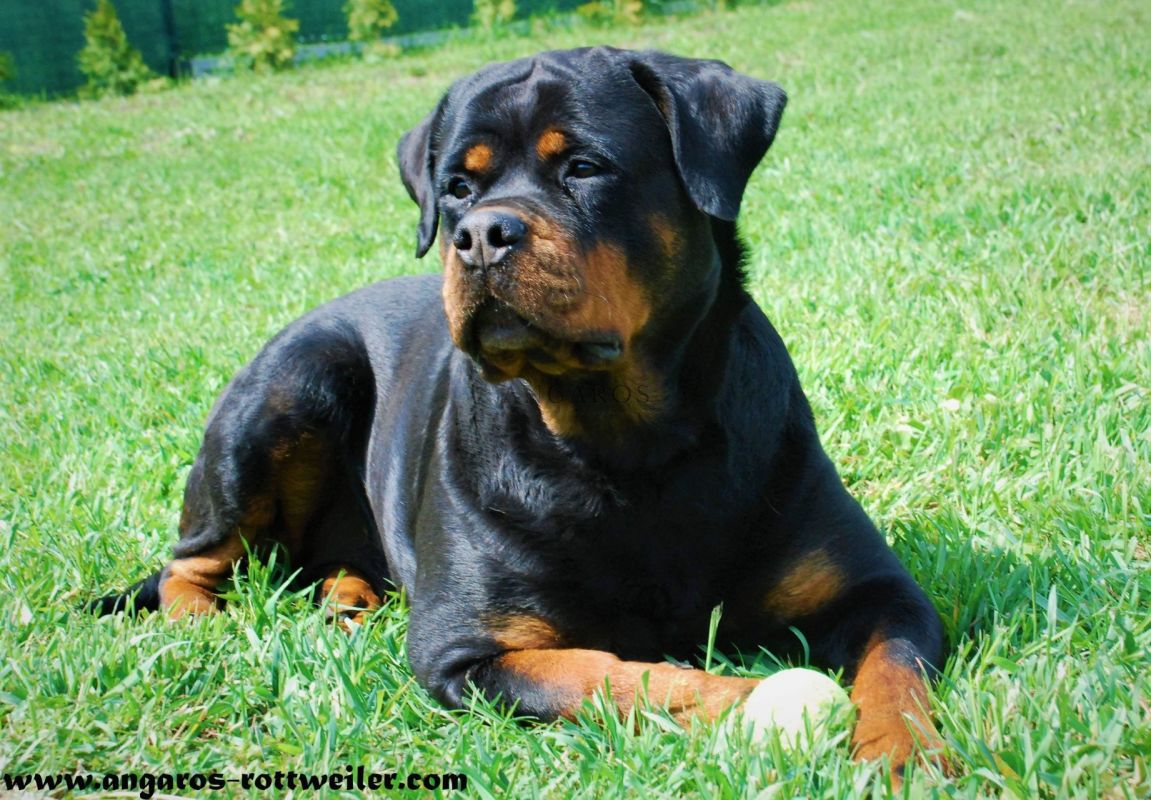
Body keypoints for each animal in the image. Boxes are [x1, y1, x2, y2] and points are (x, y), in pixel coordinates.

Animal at [94, 47, 946, 778]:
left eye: (584, 166)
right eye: (455, 188)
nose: (479, 234)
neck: (626, 443)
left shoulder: (880, 592)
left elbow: (895, 670)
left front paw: (900, 754)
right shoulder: (468, 649)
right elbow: (612, 674)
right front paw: (746, 698)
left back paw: (348, 600)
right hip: (289, 385)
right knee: (189, 562)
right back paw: (209, 625)